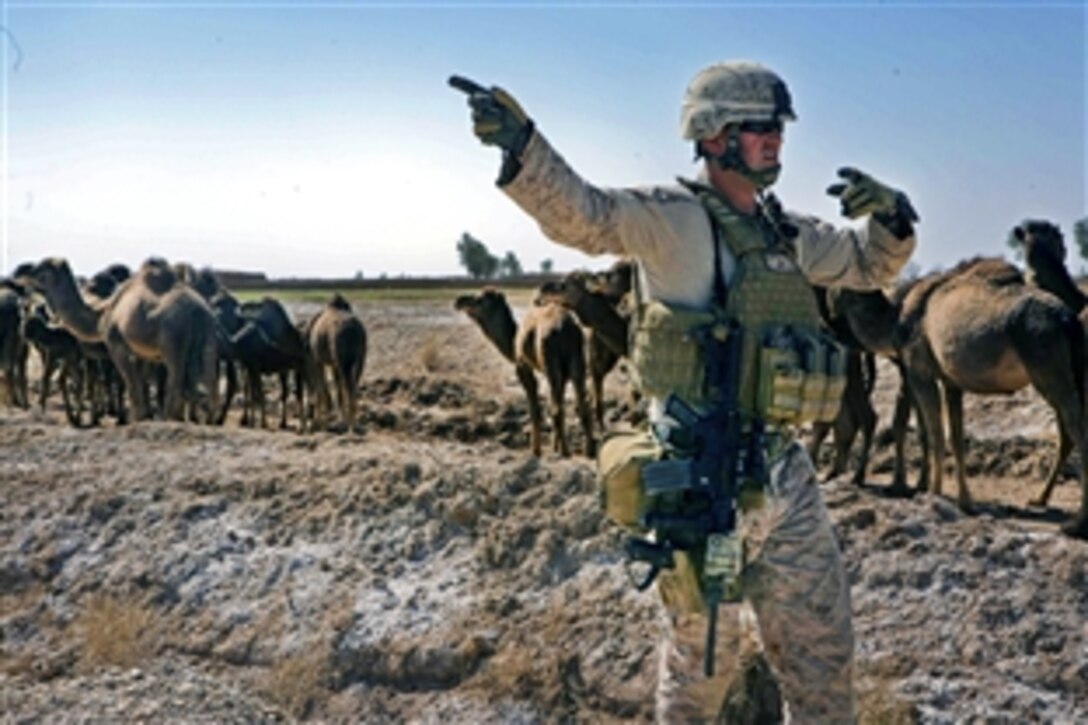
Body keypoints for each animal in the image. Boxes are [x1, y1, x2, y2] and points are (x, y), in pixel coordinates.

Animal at [28, 256, 219, 420]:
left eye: (43, 267)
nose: (26, 273)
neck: (103, 313)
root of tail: (199, 311)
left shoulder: (116, 344)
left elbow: (131, 385)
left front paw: (136, 419)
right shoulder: (143, 353)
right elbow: (141, 383)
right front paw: (145, 416)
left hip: (173, 342)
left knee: (177, 380)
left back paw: (170, 418)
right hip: (207, 338)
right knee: (208, 380)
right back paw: (207, 420)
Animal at [304, 291, 367, 428]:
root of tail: (354, 332)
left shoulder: (318, 360)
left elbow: (322, 383)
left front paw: (321, 419)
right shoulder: (333, 362)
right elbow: (336, 384)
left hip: (344, 359)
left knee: (347, 385)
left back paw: (350, 424)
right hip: (361, 357)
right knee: (354, 383)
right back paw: (352, 421)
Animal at [456, 285, 600, 455]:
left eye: (479, 299)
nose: (459, 301)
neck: (513, 343)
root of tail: (565, 329)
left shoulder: (522, 366)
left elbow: (535, 408)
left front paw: (536, 450)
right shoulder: (563, 374)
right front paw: (553, 445)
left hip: (550, 361)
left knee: (558, 409)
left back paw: (565, 452)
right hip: (578, 362)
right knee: (581, 405)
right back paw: (589, 450)